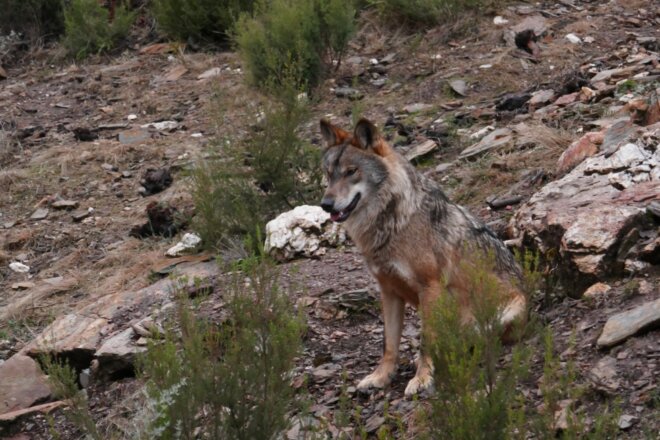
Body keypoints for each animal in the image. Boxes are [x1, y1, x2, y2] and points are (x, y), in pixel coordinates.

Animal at [318, 118, 527, 396]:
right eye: (329, 174)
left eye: (351, 171)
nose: (326, 205)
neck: (392, 224)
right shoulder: (389, 291)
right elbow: (389, 344)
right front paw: (381, 376)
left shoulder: (430, 288)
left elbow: (426, 340)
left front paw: (422, 378)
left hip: (501, 313)